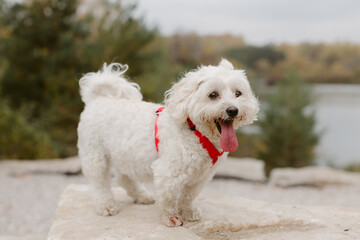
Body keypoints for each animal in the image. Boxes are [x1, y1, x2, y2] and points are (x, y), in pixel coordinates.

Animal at [78, 59, 258, 227]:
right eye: (213, 95)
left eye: (238, 93)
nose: (233, 110)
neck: (195, 133)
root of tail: (97, 99)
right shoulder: (167, 172)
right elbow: (168, 197)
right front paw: (170, 217)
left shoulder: (200, 175)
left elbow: (188, 195)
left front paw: (188, 211)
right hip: (95, 155)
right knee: (99, 181)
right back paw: (106, 206)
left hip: (125, 155)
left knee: (124, 178)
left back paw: (141, 196)